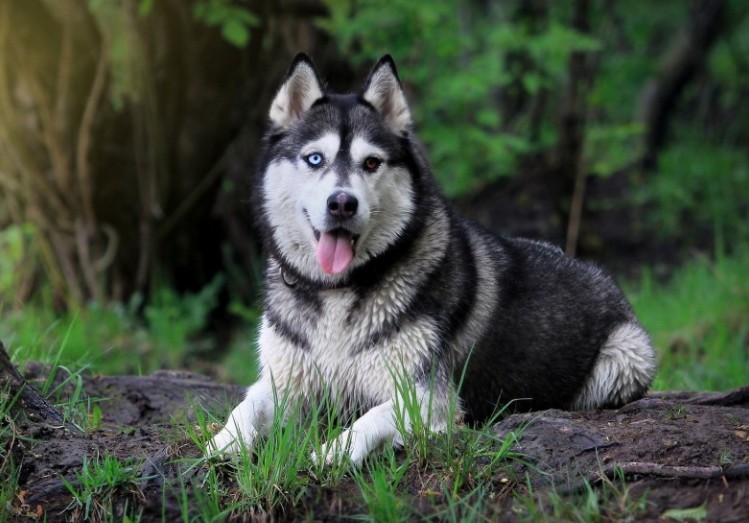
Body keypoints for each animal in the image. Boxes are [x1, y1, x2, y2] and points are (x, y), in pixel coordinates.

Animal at [209, 55, 656, 464]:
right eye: (315, 158)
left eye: (371, 162)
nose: (342, 203)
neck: (338, 290)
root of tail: (598, 272)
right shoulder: (283, 382)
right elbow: (246, 407)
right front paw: (222, 443)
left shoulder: (427, 397)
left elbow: (369, 420)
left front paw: (332, 452)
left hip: (626, 358)